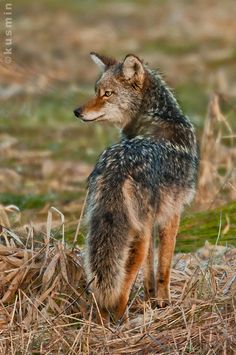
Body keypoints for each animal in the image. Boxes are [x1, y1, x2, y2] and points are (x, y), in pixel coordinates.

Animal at [74, 52, 199, 322]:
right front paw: (165, 304)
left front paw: (151, 302)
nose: (77, 112)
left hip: (102, 230)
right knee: (124, 277)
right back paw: (119, 318)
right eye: (97, 91)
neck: (159, 117)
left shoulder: (152, 222)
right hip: (135, 236)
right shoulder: (172, 215)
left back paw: (101, 318)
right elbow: (164, 267)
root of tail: (118, 166)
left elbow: (150, 272)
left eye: (106, 93)